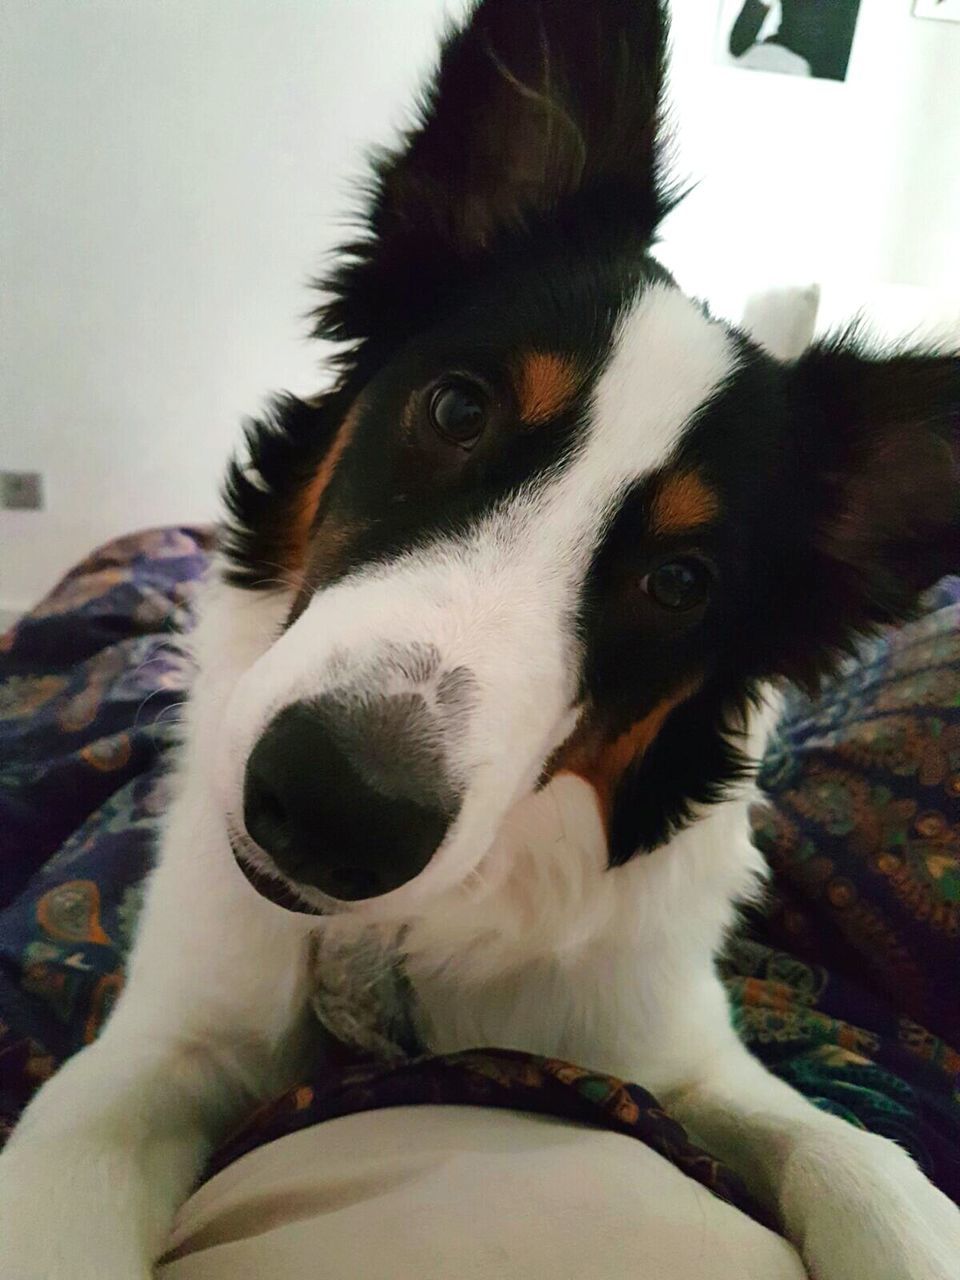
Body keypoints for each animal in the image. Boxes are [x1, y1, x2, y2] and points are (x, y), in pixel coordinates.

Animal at [1, 2, 960, 1280]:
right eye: (458, 407)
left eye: (678, 580)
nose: (336, 806)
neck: (399, 938)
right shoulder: (161, 1044)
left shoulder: (666, 1049)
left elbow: (861, 1156)